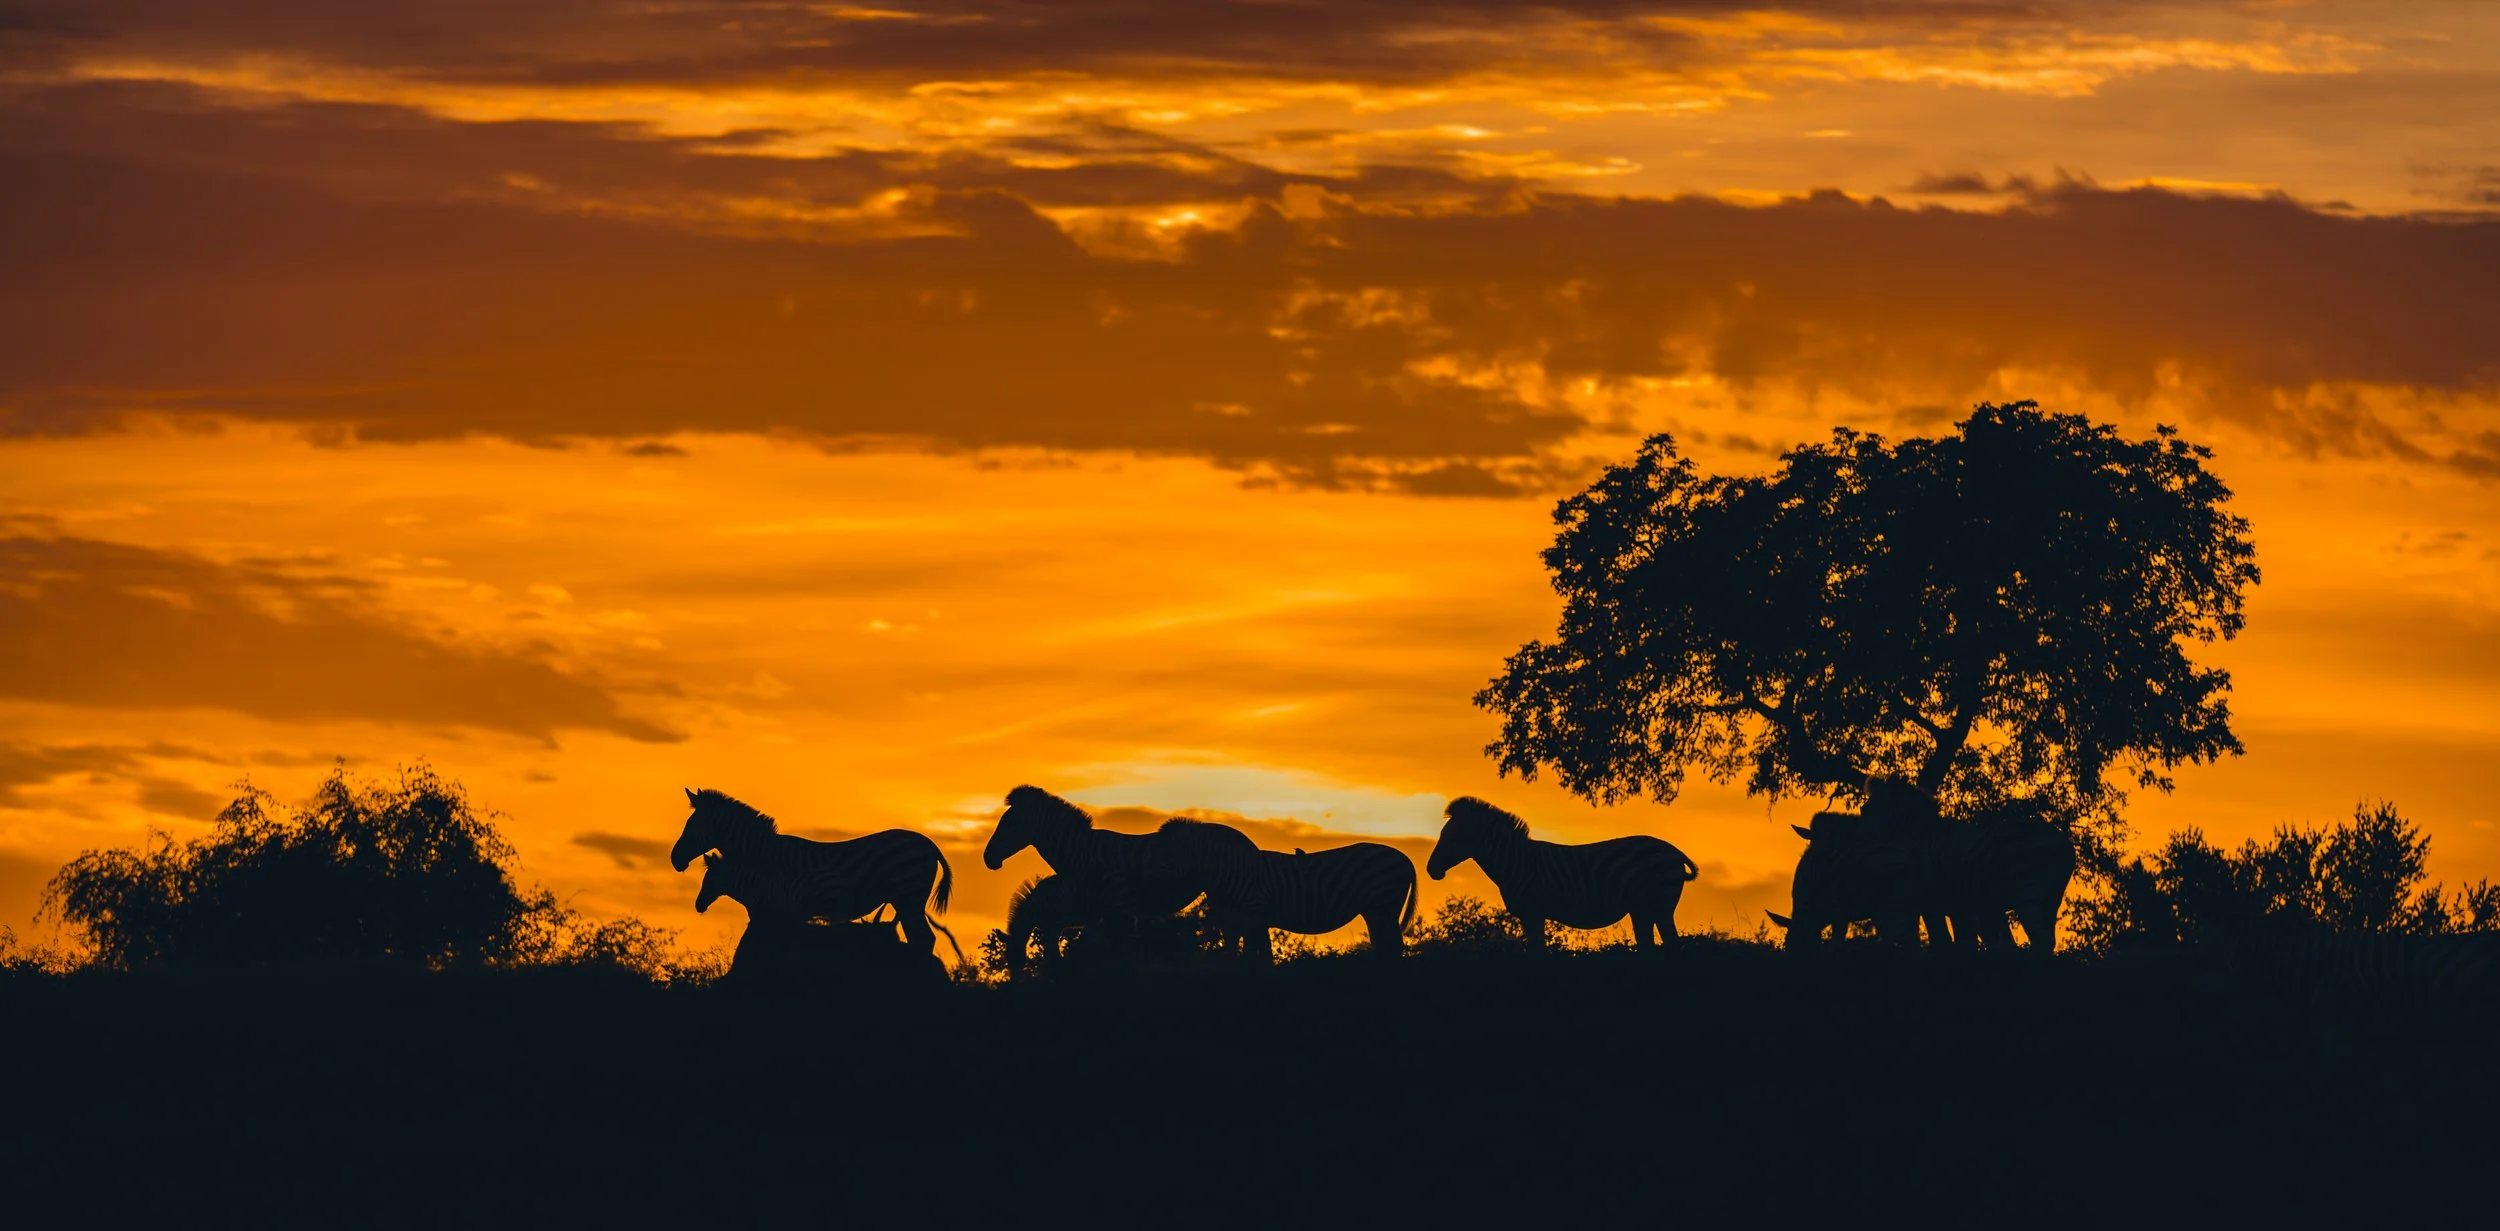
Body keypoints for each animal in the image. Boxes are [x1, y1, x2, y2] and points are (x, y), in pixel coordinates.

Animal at [669, 788, 953, 954]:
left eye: (691, 825)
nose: (675, 859)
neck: (763, 854)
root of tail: (929, 843)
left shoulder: (779, 905)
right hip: (906, 901)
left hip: (908, 897)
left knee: (923, 939)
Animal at [1155, 819, 1418, 960]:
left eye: (1165, 858)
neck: (1231, 871)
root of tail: (1405, 858)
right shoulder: (1236, 921)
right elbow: (1241, 954)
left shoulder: (1254, 915)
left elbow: (1254, 955)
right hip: (1375, 911)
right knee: (1385, 945)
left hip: (1383, 907)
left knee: (1393, 945)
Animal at [1425, 797, 1698, 949]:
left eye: (1452, 836)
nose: (1430, 870)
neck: (1516, 863)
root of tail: (1674, 851)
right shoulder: (1529, 915)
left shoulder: (1533, 912)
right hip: (1644, 909)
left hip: (1660, 905)